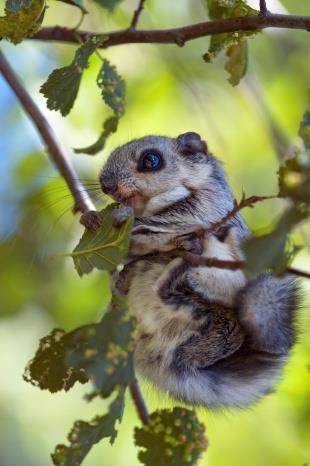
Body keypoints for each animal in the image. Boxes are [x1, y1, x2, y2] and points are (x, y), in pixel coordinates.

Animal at [81, 131, 300, 408]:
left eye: (150, 160)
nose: (105, 185)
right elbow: (132, 250)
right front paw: (90, 218)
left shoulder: (207, 206)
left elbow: (170, 217)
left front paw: (125, 215)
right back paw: (123, 281)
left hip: (210, 311)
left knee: (177, 299)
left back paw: (184, 258)